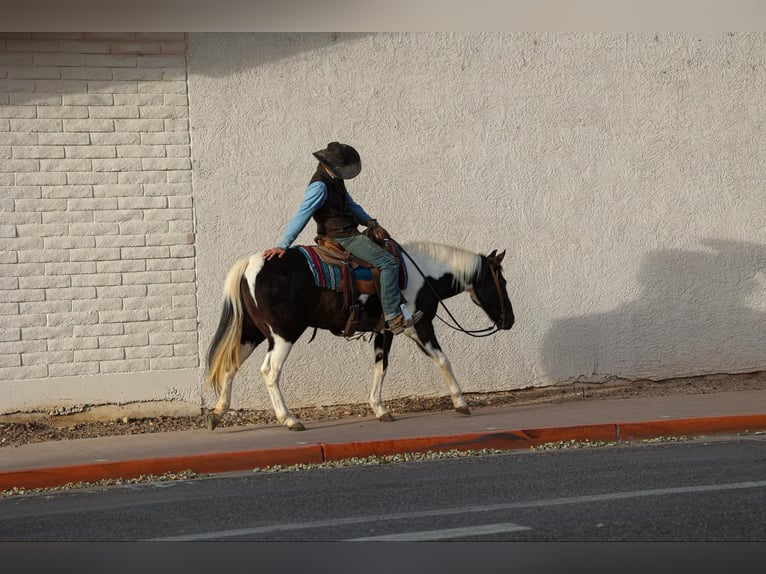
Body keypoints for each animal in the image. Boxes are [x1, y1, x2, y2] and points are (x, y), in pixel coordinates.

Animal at [204, 241, 516, 434]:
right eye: (501, 281)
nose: (509, 320)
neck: (422, 275)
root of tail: (250, 263)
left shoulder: (385, 330)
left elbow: (381, 366)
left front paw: (380, 409)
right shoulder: (419, 326)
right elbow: (443, 360)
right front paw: (461, 402)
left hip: (251, 333)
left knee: (231, 366)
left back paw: (218, 413)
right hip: (283, 335)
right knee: (270, 371)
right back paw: (289, 419)